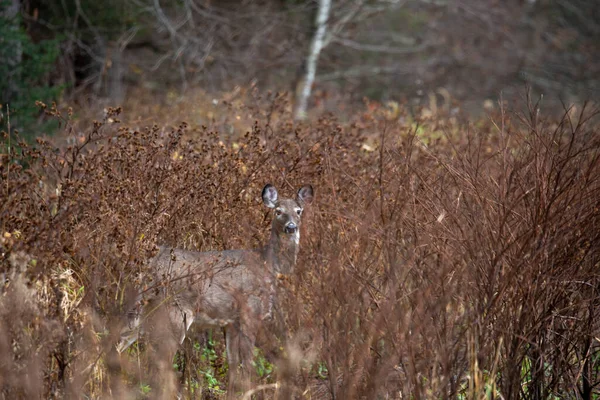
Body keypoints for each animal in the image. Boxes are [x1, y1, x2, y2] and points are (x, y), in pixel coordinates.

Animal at [117, 184, 314, 396]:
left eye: (299, 211)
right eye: (278, 211)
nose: (291, 227)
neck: (269, 265)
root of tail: (148, 267)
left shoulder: (231, 322)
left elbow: (233, 364)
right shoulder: (250, 312)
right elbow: (248, 363)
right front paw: (249, 392)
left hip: (143, 311)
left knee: (119, 342)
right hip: (175, 312)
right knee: (161, 360)